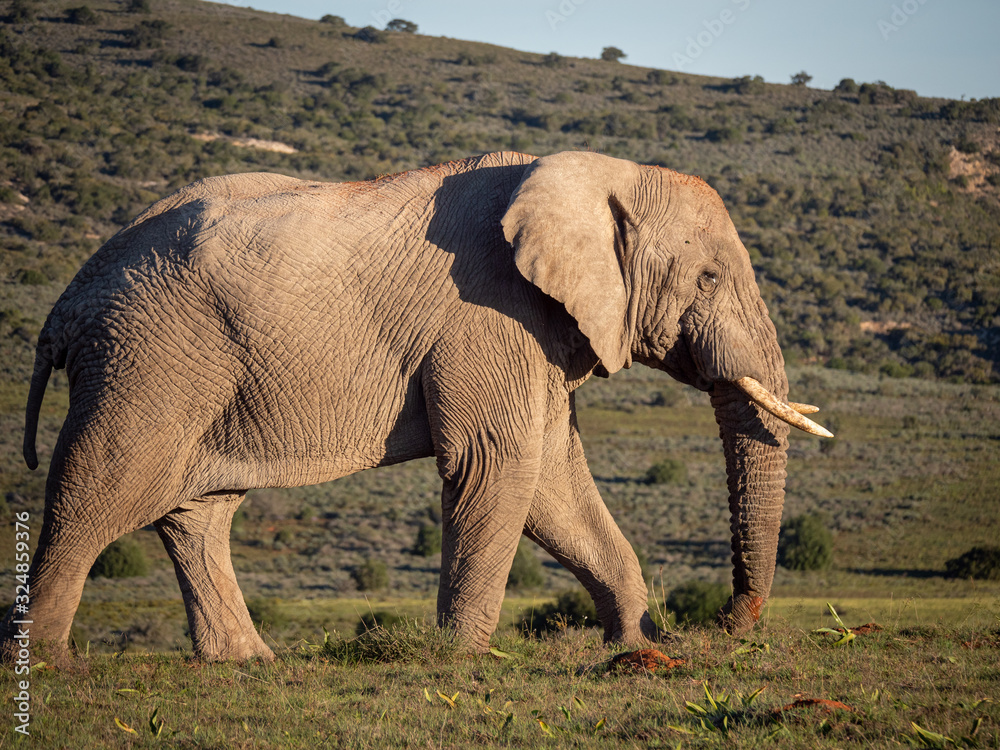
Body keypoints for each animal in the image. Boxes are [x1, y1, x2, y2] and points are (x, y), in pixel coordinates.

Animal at [0, 148, 828, 664]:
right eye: (710, 278)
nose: (725, 623)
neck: (599, 174)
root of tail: (66, 305)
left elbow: (553, 481)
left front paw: (635, 646)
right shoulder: (489, 313)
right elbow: (500, 464)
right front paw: (463, 659)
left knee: (195, 511)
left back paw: (247, 662)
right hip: (147, 359)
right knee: (100, 491)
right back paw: (49, 666)